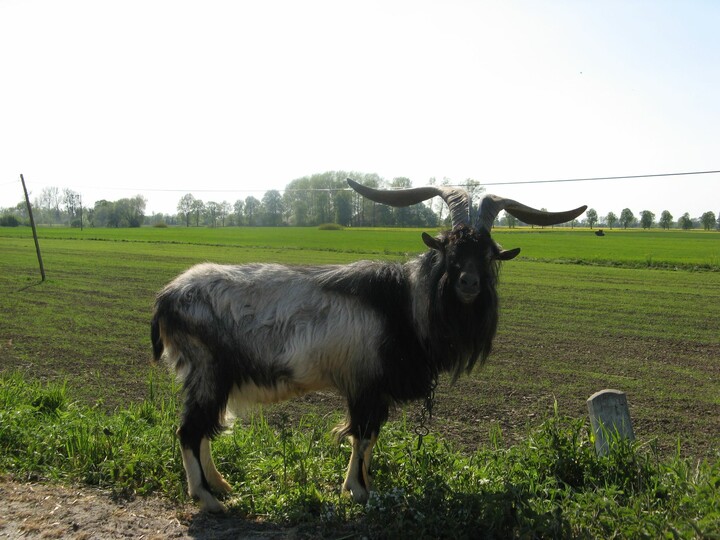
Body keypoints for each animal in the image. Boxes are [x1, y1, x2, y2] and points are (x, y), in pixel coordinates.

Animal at [152, 179, 584, 512]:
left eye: (489, 252)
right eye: (448, 248)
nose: (469, 283)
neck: (408, 303)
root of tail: (166, 297)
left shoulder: (373, 389)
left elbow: (371, 437)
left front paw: (362, 487)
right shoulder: (365, 384)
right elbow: (361, 435)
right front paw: (358, 492)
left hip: (212, 378)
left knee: (204, 429)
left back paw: (220, 485)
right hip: (207, 371)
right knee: (189, 430)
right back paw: (208, 499)